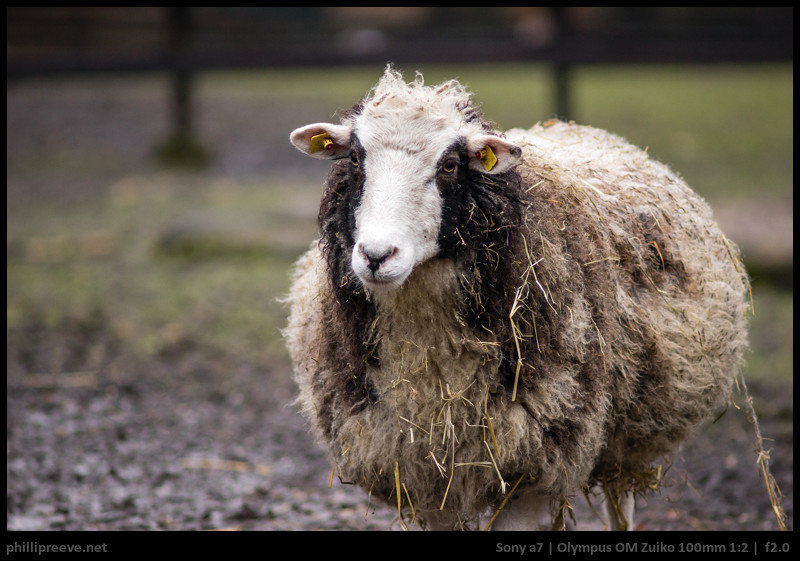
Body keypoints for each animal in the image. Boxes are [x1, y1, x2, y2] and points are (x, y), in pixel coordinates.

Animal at [282, 65, 752, 528]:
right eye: (355, 159)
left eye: (450, 165)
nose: (377, 256)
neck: (433, 378)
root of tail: (571, 124)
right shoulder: (425, 473)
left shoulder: (528, 470)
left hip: (628, 440)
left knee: (622, 504)